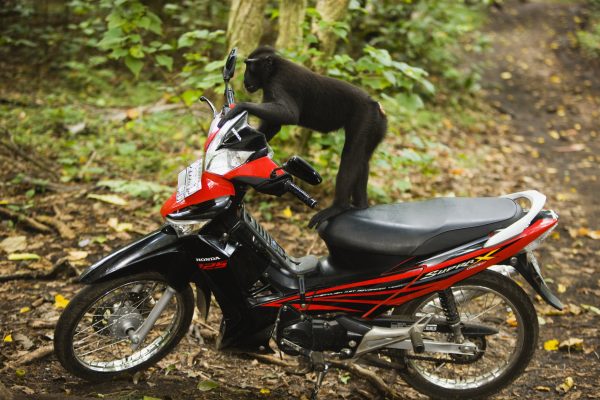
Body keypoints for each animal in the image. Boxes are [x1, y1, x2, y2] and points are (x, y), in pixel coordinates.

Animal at [218, 46, 386, 228]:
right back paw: (360, 206)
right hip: (376, 126)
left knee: (352, 157)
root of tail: (375, 105)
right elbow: (273, 126)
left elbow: (289, 114)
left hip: (365, 118)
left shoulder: (278, 83)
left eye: (250, 66)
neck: (274, 69)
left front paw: (240, 107)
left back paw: (338, 207)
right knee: (363, 158)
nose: (244, 79)